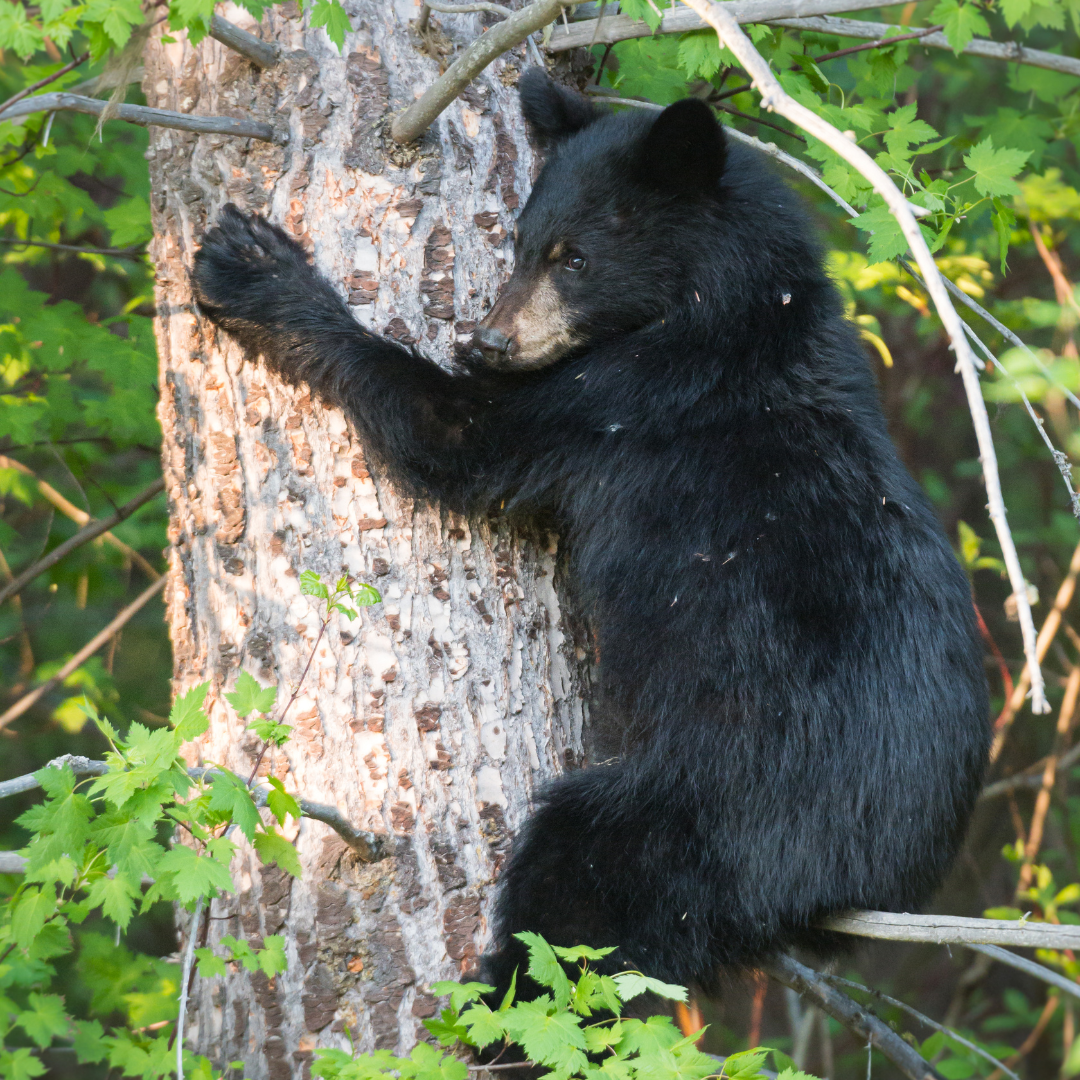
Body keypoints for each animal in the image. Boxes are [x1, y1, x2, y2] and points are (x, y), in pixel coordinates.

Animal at [191, 70, 990, 995]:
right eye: (520, 242)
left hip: (712, 812)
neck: (741, 308)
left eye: (574, 257)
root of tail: (869, 880)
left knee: (579, 906)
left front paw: (254, 269)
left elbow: (455, 433)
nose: (489, 339)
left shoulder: (628, 396)